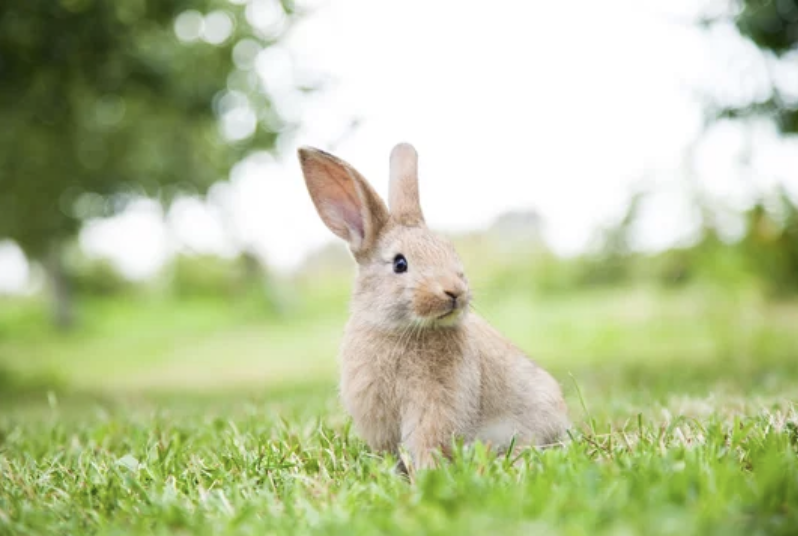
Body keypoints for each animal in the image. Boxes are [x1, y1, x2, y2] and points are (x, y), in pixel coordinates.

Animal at [297, 142, 569, 471]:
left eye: (450, 251)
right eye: (400, 263)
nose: (455, 291)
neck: (399, 330)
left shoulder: (435, 407)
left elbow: (427, 442)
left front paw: (427, 472)